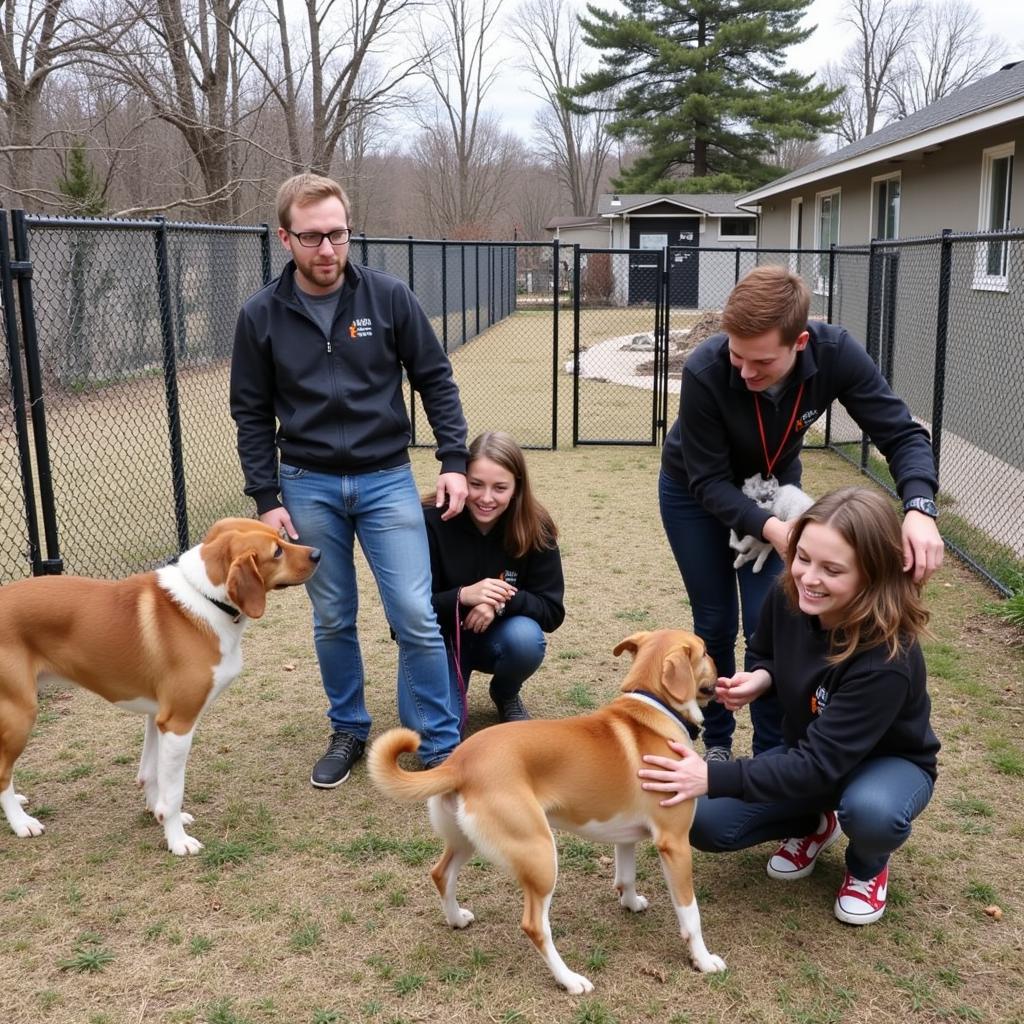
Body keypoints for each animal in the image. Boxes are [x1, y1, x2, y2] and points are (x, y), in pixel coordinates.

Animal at [0, 520, 319, 856]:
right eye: (277, 551)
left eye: (280, 537)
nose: (318, 554)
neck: (205, 599)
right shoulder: (178, 724)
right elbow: (174, 790)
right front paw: (177, 840)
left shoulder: (157, 717)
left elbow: (151, 775)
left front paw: (158, 813)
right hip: (21, 713)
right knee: (2, 774)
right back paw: (21, 822)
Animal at [368, 626, 729, 987]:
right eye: (705, 652)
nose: (722, 667)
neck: (655, 710)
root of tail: (459, 764)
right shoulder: (674, 843)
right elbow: (690, 913)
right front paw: (703, 959)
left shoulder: (625, 835)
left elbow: (625, 875)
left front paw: (630, 903)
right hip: (539, 852)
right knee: (534, 926)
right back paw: (570, 980)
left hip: (464, 840)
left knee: (441, 874)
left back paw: (456, 919)